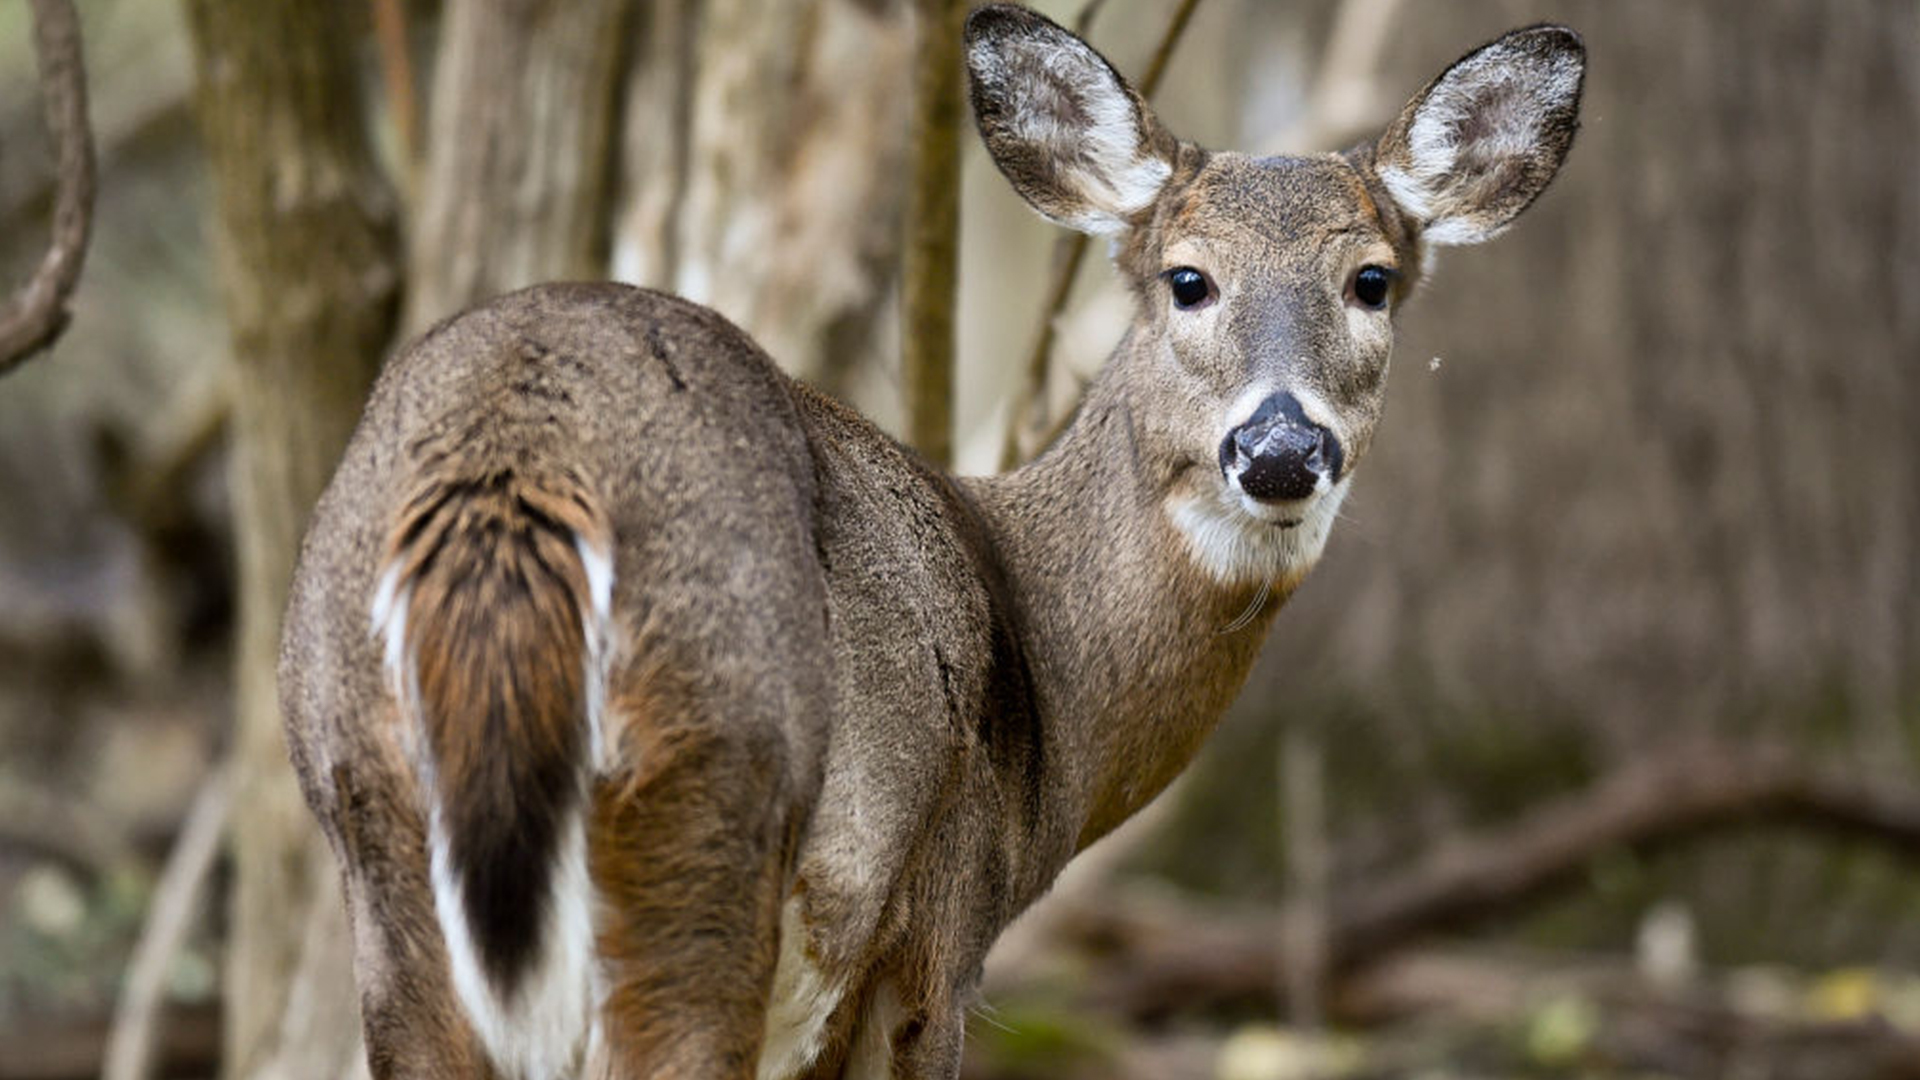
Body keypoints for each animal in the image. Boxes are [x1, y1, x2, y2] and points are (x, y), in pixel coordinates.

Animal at [279, 6, 1584, 1078]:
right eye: (1187, 279)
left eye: (1372, 281)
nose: (1277, 451)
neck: (1045, 676)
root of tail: (521, 462)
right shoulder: (934, 939)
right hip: (707, 803)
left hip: (377, 837)